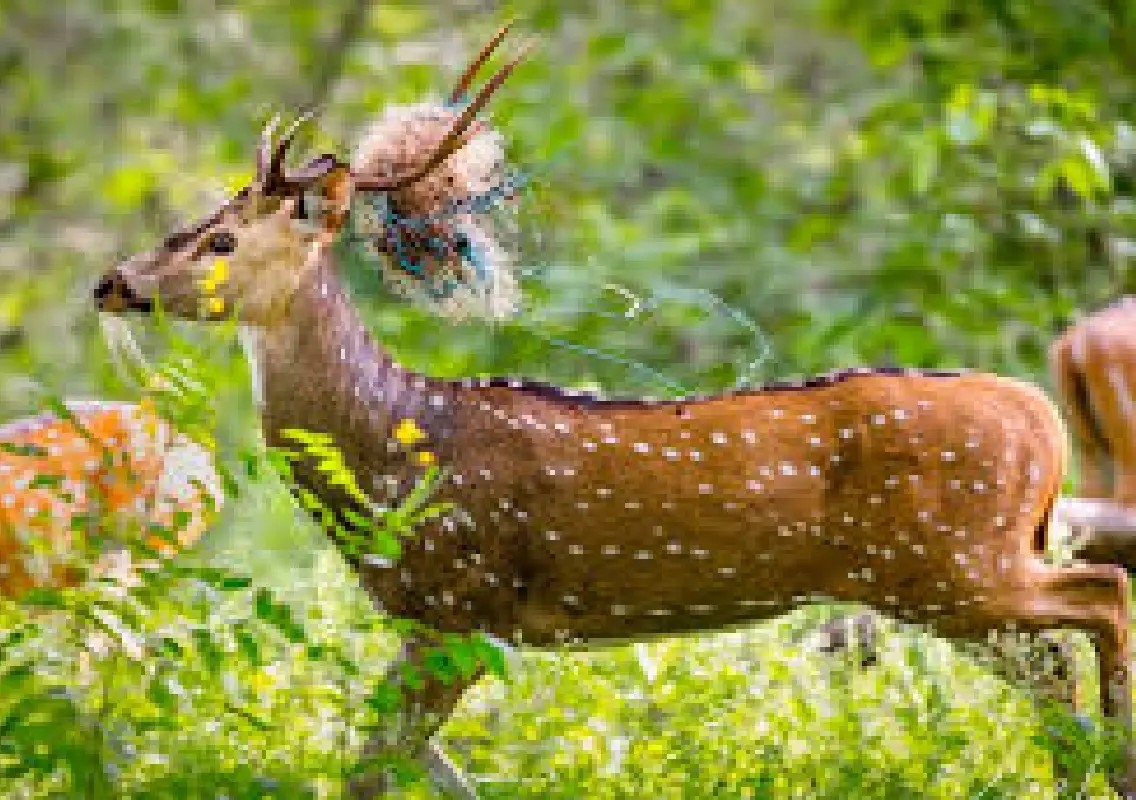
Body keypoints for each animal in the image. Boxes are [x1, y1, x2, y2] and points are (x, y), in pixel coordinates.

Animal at [91, 24, 1136, 798]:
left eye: (222, 240)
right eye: (190, 219)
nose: (111, 282)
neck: (391, 456)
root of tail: (1038, 414)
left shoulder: (468, 601)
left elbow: (371, 769)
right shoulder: (433, 621)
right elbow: (420, 770)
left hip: (952, 561)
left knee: (1102, 598)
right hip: (952, 576)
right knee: (1055, 667)